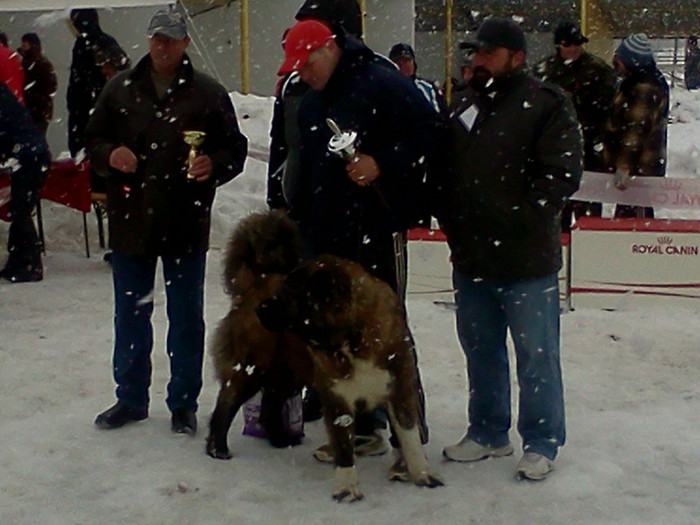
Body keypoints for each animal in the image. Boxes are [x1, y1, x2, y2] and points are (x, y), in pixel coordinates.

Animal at [202, 210, 312, 454]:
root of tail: (258, 281)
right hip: (254, 366)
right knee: (227, 406)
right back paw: (219, 448)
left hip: (282, 370)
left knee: (268, 411)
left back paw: (281, 439)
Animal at [258, 254, 442, 500]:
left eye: (289, 289)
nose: (260, 307)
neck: (352, 334)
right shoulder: (337, 397)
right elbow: (343, 445)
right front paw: (346, 487)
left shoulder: (401, 388)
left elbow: (409, 435)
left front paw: (421, 473)